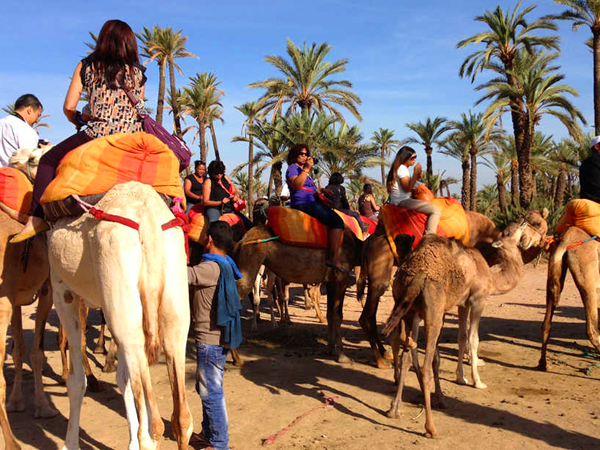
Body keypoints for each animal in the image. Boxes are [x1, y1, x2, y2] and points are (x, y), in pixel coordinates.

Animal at [47, 182, 191, 450]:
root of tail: (148, 219)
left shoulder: (62, 290)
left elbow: (76, 380)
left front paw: (69, 444)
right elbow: (122, 378)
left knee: (153, 427)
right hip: (171, 289)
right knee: (182, 418)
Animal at [236, 225, 360, 362]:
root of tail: (243, 240)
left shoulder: (331, 282)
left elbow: (331, 314)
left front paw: (331, 350)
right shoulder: (341, 277)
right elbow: (338, 316)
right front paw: (342, 355)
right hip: (251, 263)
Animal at [358, 209, 504, 368]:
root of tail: (369, 241)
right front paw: (472, 358)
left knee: (370, 315)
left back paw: (386, 353)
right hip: (380, 273)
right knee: (367, 316)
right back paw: (380, 360)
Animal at [382, 221, 536, 440]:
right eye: (509, 232)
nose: (524, 221)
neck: (491, 276)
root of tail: (417, 275)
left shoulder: (463, 303)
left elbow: (462, 336)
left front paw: (461, 377)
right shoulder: (478, 299)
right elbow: (473, 338)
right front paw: (477, 381)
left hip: (406, 307)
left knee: (406, 355)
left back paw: (394, 409)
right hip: (433, 313)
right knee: (425, 364)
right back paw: (431, 428)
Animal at [536, 227, 600, 370]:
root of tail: (566, 240)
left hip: (554, 272)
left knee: (546, 324)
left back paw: (543, 363)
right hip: (590, 282)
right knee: (591, 330)